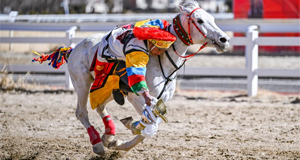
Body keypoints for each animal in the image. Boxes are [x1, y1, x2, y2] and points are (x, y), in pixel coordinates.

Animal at [66, 0, 230, 155]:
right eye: (200, 20)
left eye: (212, 19)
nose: (224, 40)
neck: (161, 61)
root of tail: (74, 49)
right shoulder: (138, 98)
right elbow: (151, 126)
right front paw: (124, 137)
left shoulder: (161, 101)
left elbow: (148, 128)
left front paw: (118, 143)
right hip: (82, 83)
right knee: (81, 113)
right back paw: (98, 145)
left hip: (108, 89)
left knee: (100, 107)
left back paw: (108, 135)